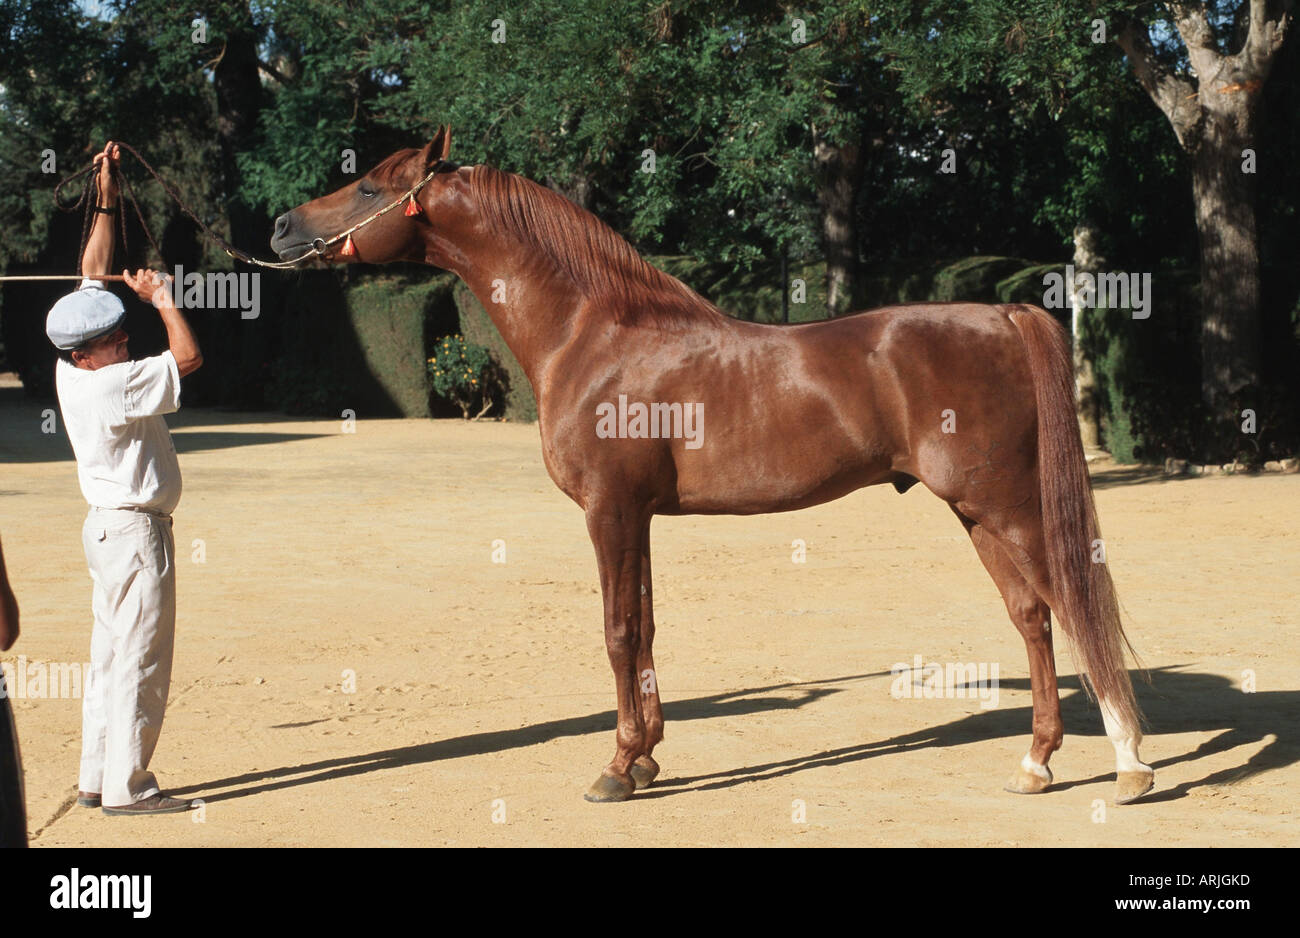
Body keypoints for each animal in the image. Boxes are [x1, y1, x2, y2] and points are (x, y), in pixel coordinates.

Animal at [270, 127, 1153, 805]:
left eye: (369, 185)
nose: (279, 227)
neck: (592, 332)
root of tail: (1003, 312)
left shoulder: (609, 510)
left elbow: (618, 631)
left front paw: (616, 770)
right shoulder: (637, 515)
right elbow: (646, 626)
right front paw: (648, 758)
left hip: (1005, 504)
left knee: (1072, 606)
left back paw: (1129, 765)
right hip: (976, 513)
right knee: (1032, 615)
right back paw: (1037, 762)